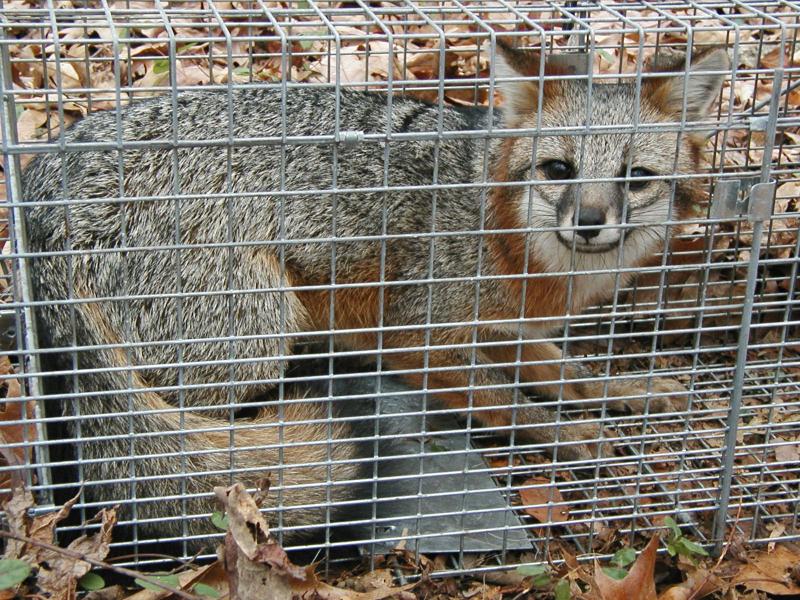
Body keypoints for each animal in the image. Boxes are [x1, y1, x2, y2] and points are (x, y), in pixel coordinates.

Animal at [22, 41, 729, 547]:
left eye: (635, 178)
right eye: (560, 170)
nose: (588, 222)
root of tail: (45, 185)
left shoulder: (506, 328)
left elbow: (571, 376)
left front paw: (629, 390)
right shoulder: (420, 338)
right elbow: (510, 404)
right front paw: (573, 434)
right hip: (255, 338)